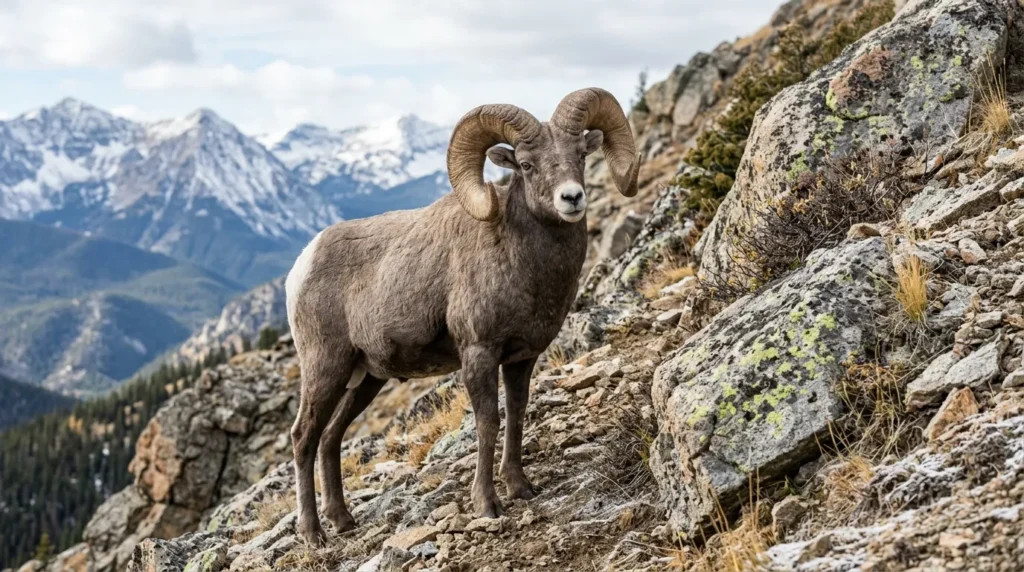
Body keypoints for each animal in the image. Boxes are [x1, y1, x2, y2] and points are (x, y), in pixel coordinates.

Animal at [286, 87, 640, 545]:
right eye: (527, 164)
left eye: (581, 154)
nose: (572, 199)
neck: (520, 259)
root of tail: (302, 266)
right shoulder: (478, 353)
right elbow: (488, 422)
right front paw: (487, 504)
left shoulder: (522, 358)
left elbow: (517, 412)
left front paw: (521, 487)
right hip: (325, 369)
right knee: (304, 438)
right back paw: (314, 535)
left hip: (366, 379)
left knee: (330, 438)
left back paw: (343, 520)